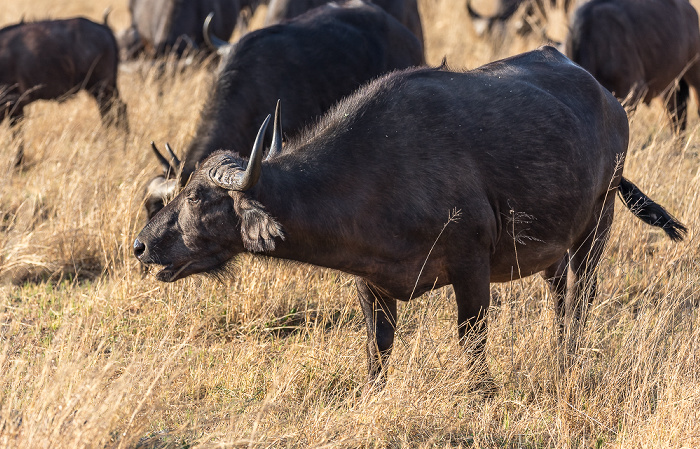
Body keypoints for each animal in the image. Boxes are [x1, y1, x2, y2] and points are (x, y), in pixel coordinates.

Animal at [0, 17, 128, 164]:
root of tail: (104, 28)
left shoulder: (15, 106)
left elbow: (18, 137)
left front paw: (18, 164)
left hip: (102, 88)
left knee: (113, 115)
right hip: (106, 90)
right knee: (117, 111)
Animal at [134, 46, 688, 388]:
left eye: (199, 197)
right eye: (177, 193)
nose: (140, 245)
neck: (374, 173)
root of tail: (610, 103)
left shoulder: (471, 267)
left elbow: (472, 341)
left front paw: (481, 392)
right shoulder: (369, 282)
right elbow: (376, 351)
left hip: (598, 222)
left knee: (582, 297)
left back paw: (570, 358)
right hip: (552, 247)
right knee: (558, 297)